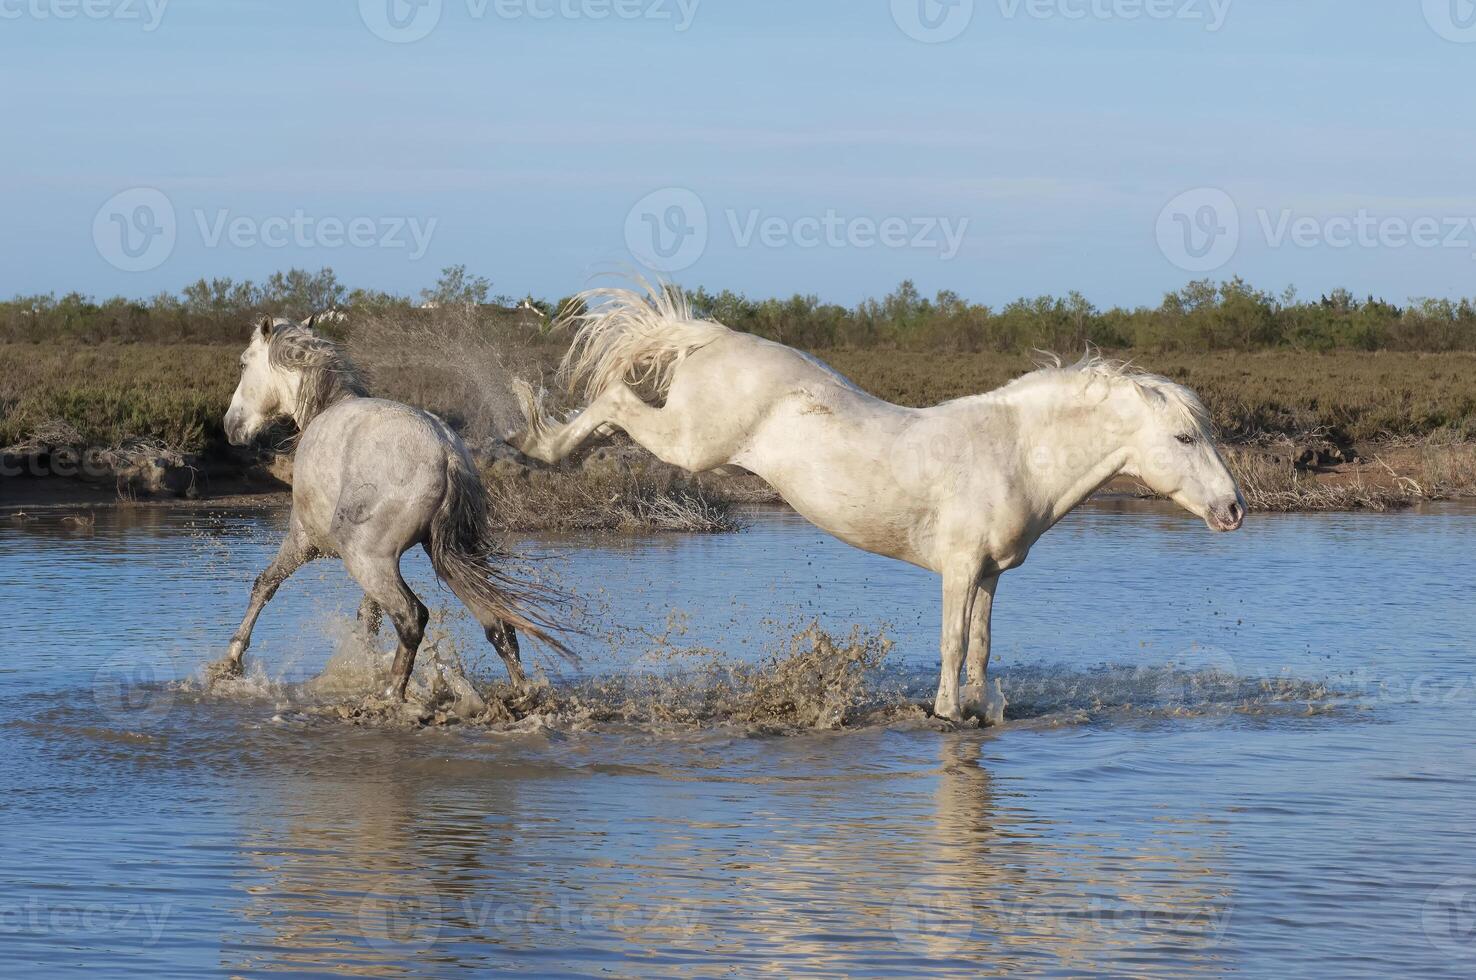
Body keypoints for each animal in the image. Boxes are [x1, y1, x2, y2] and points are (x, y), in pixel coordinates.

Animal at [215, 317, 566, 699]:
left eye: (243, 363)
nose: (230, 427)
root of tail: (446, 453)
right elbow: (368, 617)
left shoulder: (304, 542)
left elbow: (264, 584)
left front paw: (230, 662)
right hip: (448, 557)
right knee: (497, 623)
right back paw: (521, 691)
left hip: (368, 559)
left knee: (412, 617)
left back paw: (391, 696)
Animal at [513, 278, 1239, 723]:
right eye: (1184, 436)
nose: (1233, 510)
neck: (1012, 452)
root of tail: (713, 338)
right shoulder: (958, 568)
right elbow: (951, 645)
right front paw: (947, 714)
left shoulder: (991, 575)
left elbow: (981, 648)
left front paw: (978, 710)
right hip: (692, 444)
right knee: (612, 400)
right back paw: (535, 441)